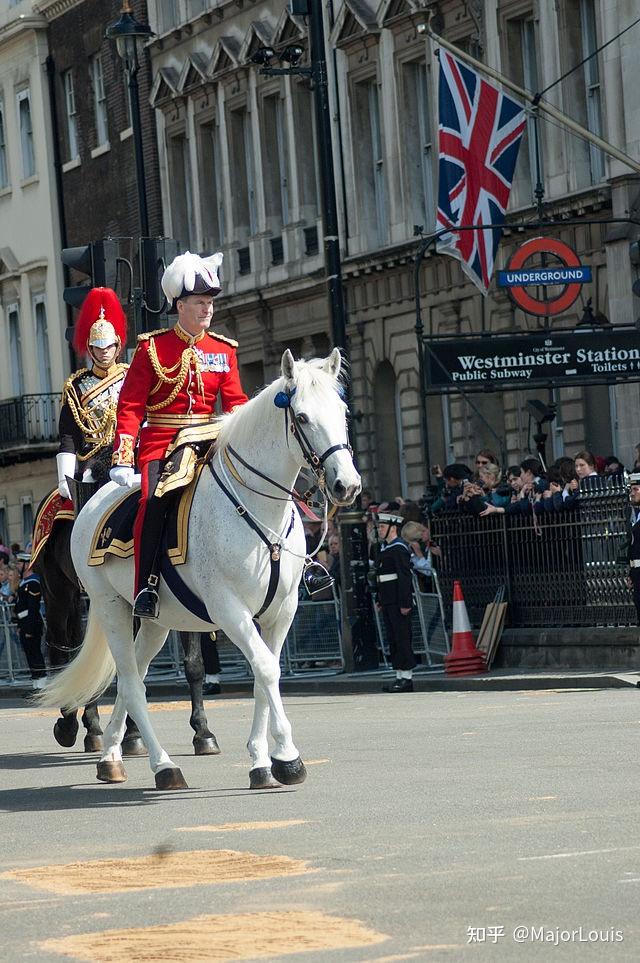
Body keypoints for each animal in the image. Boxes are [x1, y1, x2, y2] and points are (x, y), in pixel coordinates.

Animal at [34, 516, 220, 756]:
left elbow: (194, 666)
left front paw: (203, 732)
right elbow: (131, 670)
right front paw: (133, 734)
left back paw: (92, 729)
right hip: (57, 593)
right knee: (59, 649)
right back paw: (69, 725)